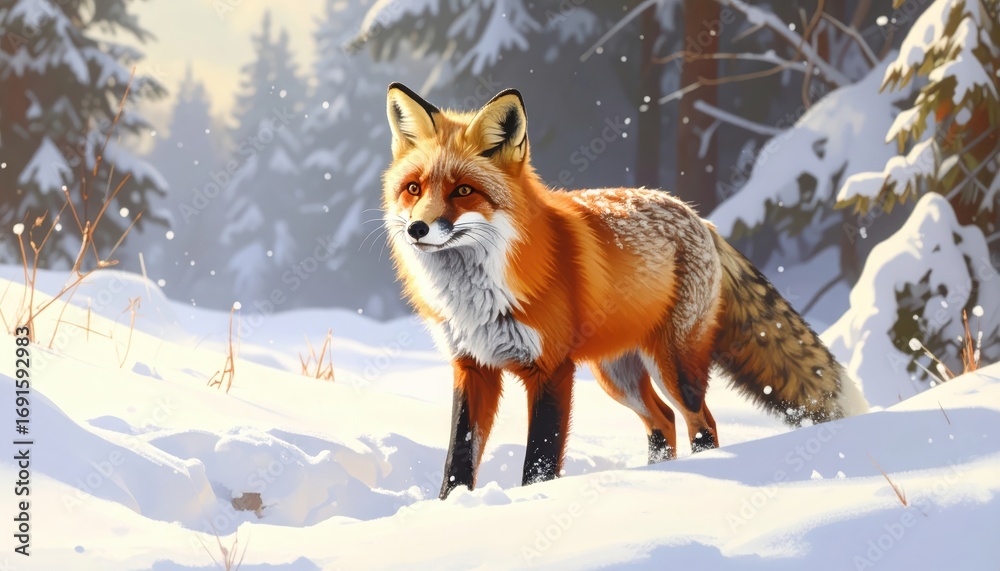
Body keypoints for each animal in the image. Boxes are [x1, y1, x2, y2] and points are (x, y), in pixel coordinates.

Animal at [380, 82, 869, 499]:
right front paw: (451, 510)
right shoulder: (472, 366)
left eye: (464, 190)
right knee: (663, 422)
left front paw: (533, 504)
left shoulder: (551, 369)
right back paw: (656, 477)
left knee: (701, 421)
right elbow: (458, 459)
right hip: (616, 375)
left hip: (675, 367)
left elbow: (539, 462)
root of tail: (699, 217)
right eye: (413, 188)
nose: (418, 229)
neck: (476, 297)